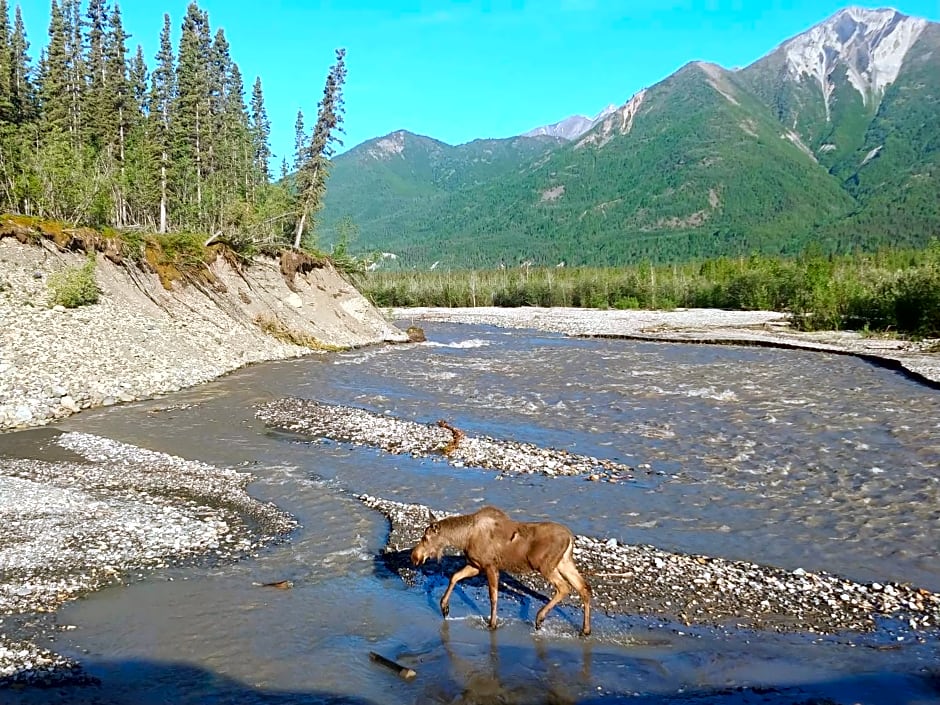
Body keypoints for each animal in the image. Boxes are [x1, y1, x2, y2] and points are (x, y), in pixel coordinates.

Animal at [410, 504, 592, 636]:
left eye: (425, 538)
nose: (414, 556)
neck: (463, 538)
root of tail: (570, 537)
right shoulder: (476, 566)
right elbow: (454, 577)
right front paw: (444, 607)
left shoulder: (489, 566)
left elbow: (493, 596)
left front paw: (492, 623)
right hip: (564, 562)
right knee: (584, 588)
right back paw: (586, 630)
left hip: (545, 565)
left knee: (564, 587)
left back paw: (540, 618)